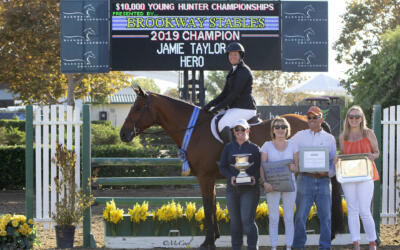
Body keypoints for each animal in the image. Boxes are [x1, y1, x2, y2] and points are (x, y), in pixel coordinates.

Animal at [119, 87, 344, 248]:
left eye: (137, 108)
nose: (123, 134)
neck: (195, 130)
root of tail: (312, 120)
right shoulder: (208, 178)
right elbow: (211, 204)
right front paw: (215, 237)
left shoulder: (205, 177)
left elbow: (208, 206)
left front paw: (208, 241)